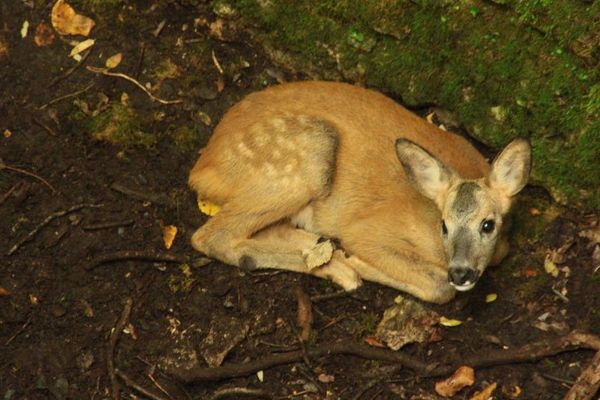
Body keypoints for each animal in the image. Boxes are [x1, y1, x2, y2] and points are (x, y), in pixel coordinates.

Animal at [188, 81, 528, 304]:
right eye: (443, 225)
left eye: (488, 224)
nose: (461, 272)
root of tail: (204, 167)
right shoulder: (367, 231)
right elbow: (438, 288)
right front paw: (355, 261)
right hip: (304, 157)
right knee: (210, 237)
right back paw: (342, 269)